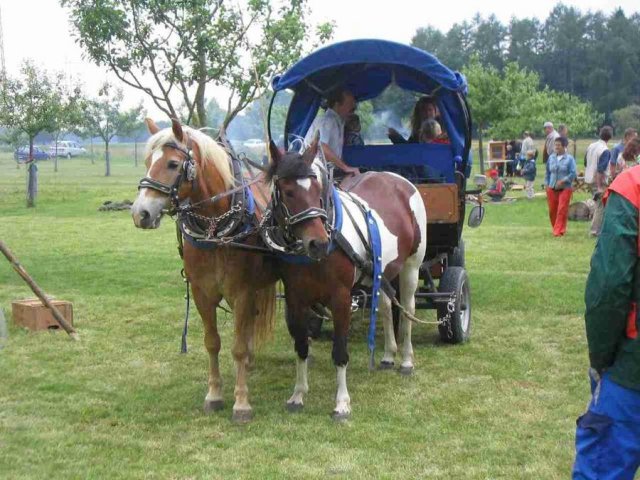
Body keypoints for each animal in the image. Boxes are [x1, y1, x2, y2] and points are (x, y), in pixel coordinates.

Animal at [131, 120, 276, 424]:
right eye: (148, 161)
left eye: (173, 164)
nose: (140, 213)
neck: (215, 228)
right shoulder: (201, 293)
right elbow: (213, 343)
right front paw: (214, 395)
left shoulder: (242, 292)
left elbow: (237, 346)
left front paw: (241, 402)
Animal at [268, 142, 428, 420]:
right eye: (287, 192)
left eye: (318, 189)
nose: (318, 243)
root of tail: (401, 182)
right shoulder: (296, 300)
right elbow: (301, 346)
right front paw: (298, 395)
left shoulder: (341, 299)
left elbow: (340, 352)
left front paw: (342, 403)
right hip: (380, 271)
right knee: (386, 307)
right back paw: (388, 355)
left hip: (411, 266)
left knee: (408, 308)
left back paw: (407, 360)